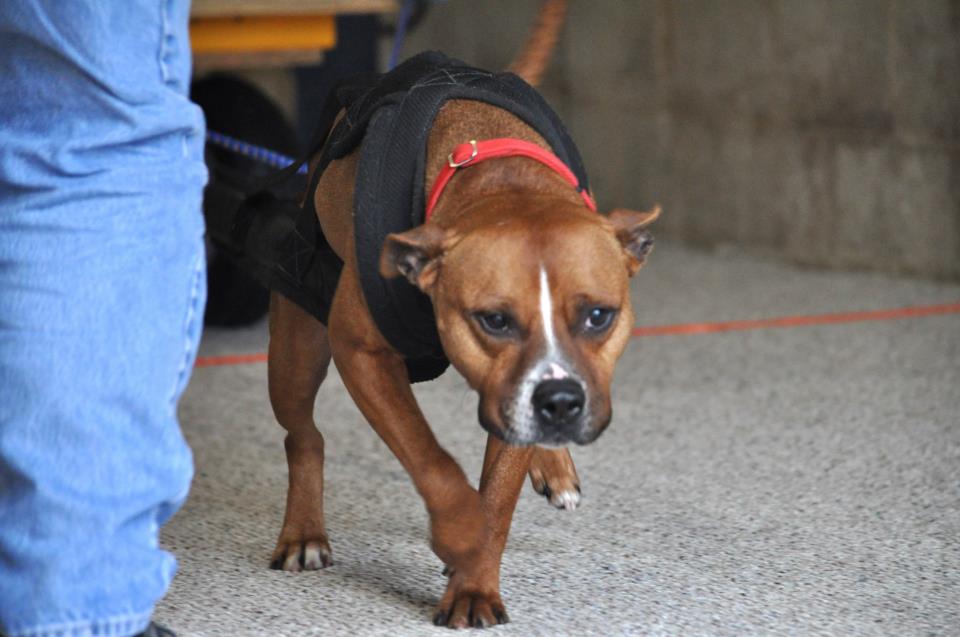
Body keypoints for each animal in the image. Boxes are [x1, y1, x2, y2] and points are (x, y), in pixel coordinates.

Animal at [266, 0, 660, 628]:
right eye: (494, 320)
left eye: (600, 316)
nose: (561, 402)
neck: (501, 177)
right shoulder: (362, 354)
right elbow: (433, 462)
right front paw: (462, 536)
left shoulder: (513, 394)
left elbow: (497, 493)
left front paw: (475, 581)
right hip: (297, 353)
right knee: (303, 437)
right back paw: (303, 533)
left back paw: (552, 464)